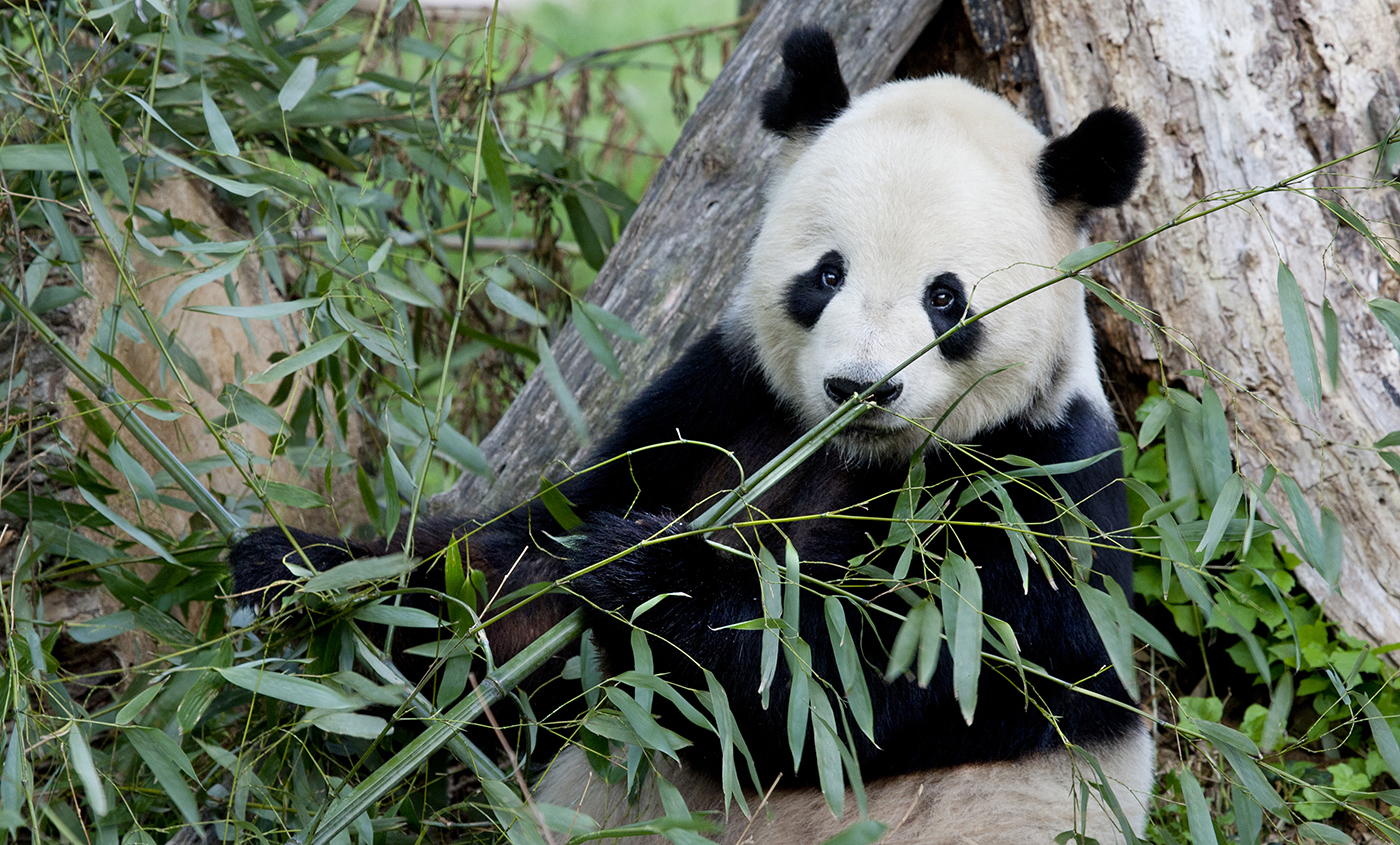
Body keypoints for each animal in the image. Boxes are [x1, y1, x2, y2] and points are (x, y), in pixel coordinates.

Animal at [226, 26, 1148, 845]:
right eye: (828, 274)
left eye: (945, 298)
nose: (860, 387)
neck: (852, 451)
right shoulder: (724, 402)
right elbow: (517, 596)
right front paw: (302, 570)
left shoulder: (1039, 488)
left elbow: (884, 677)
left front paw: (650, 572)